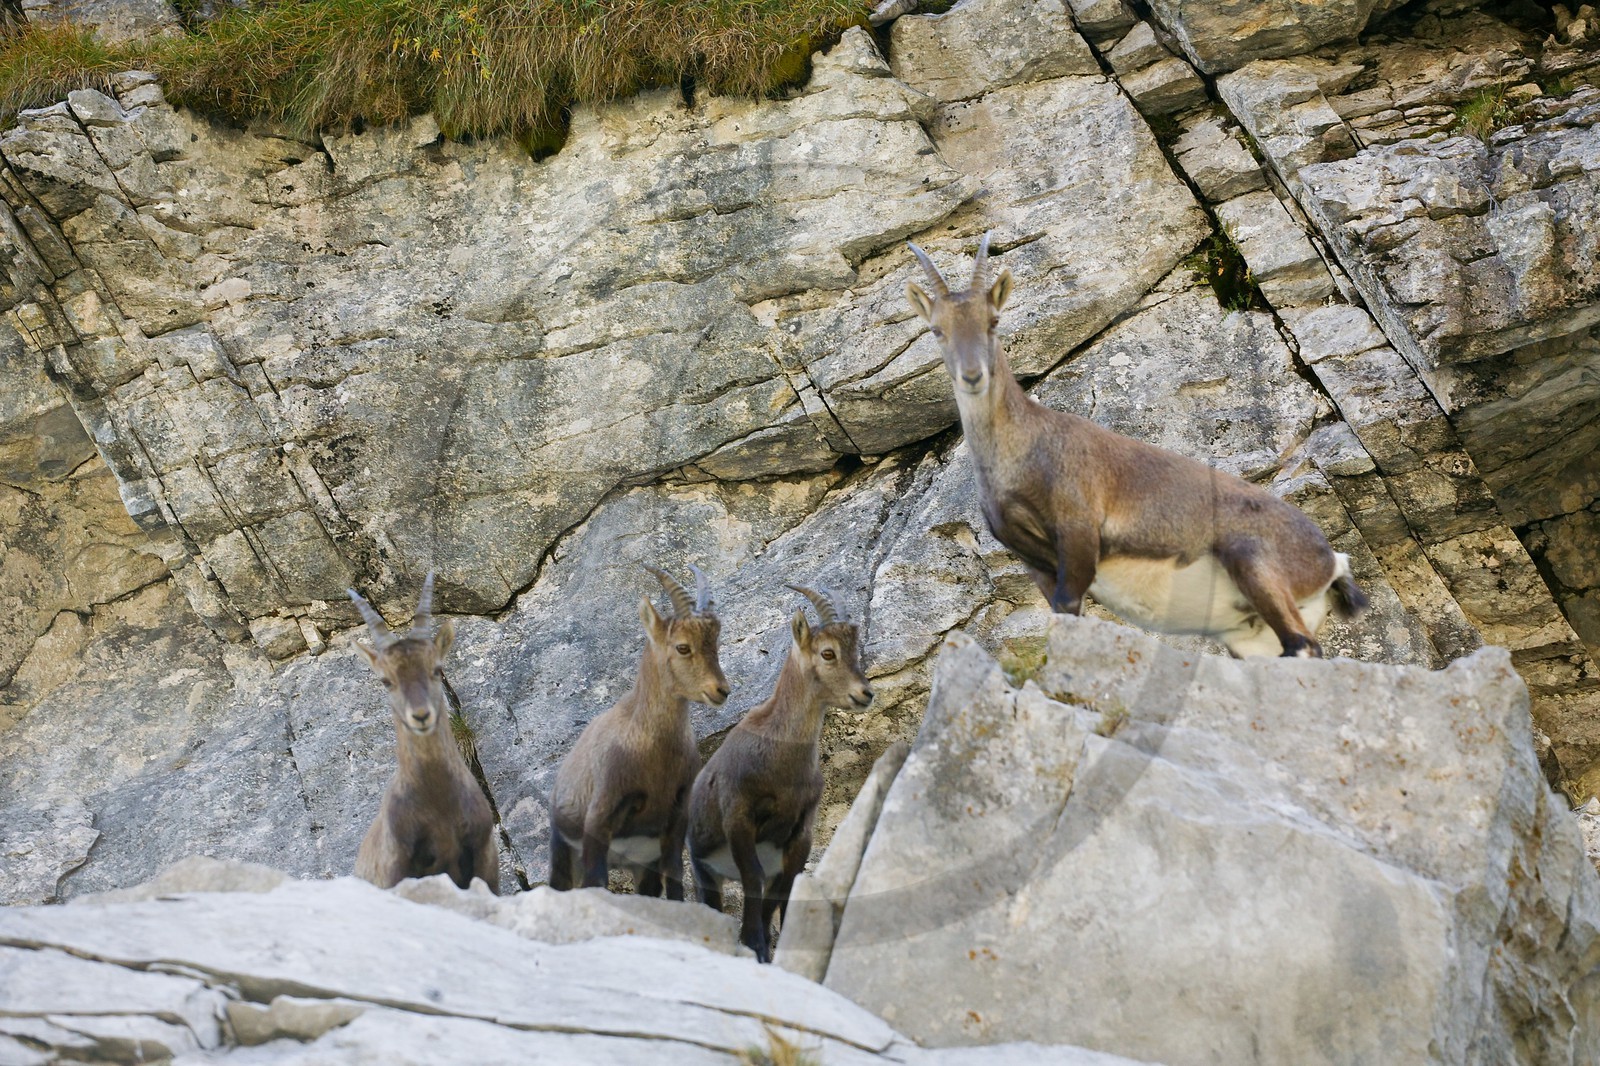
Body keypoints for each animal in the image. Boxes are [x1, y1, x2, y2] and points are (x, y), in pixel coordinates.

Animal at [348, 573, 498, 892]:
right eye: (386, 680)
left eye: (437, 669)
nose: (420, 716)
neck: (438, 801)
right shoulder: (397, 871)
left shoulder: (485, 857)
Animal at [548, 566, 730, 898]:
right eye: (682, 646)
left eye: (715, 645)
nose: (721, 690)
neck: (653, 749)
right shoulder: (600, 815)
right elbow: (597, 881)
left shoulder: (674, 821)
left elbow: (675, 878)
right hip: (564, 846)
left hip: (641, 865)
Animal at [688, 585, 873, 962]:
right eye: (827, 652)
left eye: (854, 651)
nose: (865, 693)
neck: (781, 762)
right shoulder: (738, 817)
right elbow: (753, 878)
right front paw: (754, 944)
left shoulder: (801, 829)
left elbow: (787, 889)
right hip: (704, 868)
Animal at [906, 235, 1368, 657]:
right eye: (937, 330)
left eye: (993, 321)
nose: (972, 376)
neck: (1023, 448)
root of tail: (1331, 560)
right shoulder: (1033, 560)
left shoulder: (1078, 531)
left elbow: (1068, 610)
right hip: (1249, 633)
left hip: (1255, 564)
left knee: (1303, 645)